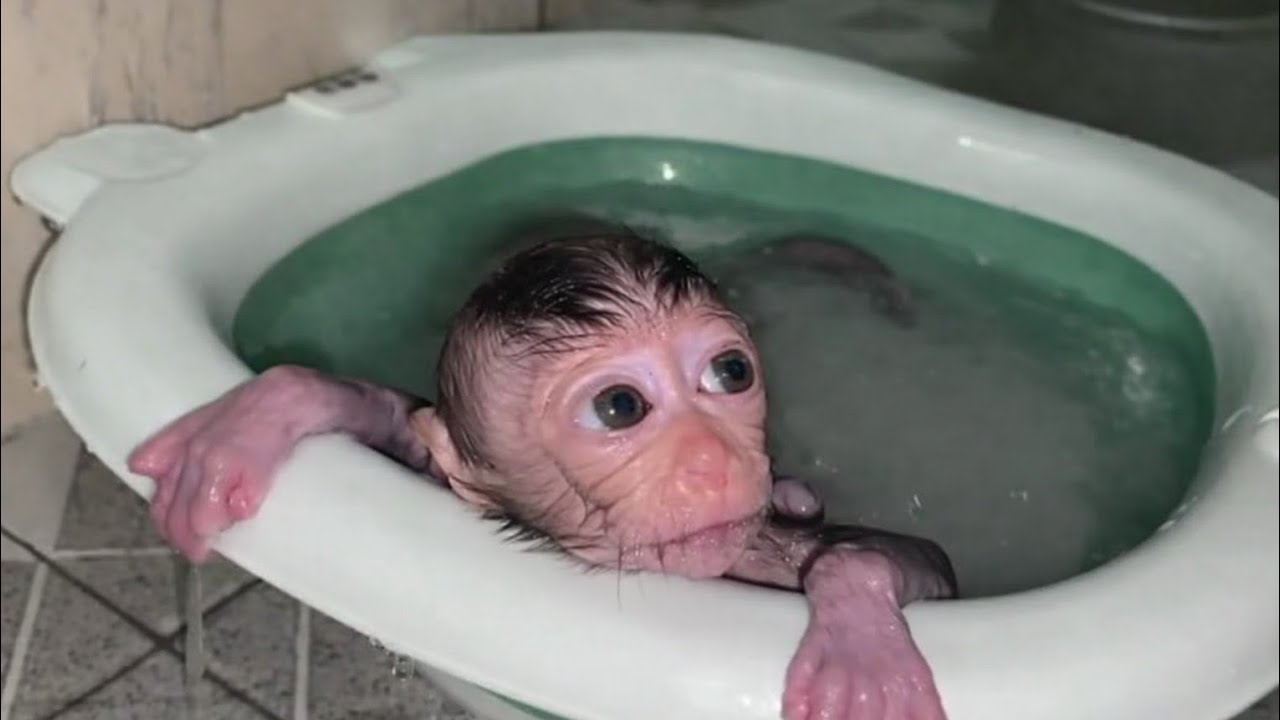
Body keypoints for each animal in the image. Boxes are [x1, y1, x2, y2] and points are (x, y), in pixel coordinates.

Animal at [127, 224, 957, 720]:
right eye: (620, 407)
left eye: (730, 372)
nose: (714, 458)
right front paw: (271, 408)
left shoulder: (765, 546)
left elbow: (920, 563)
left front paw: (857, 632)